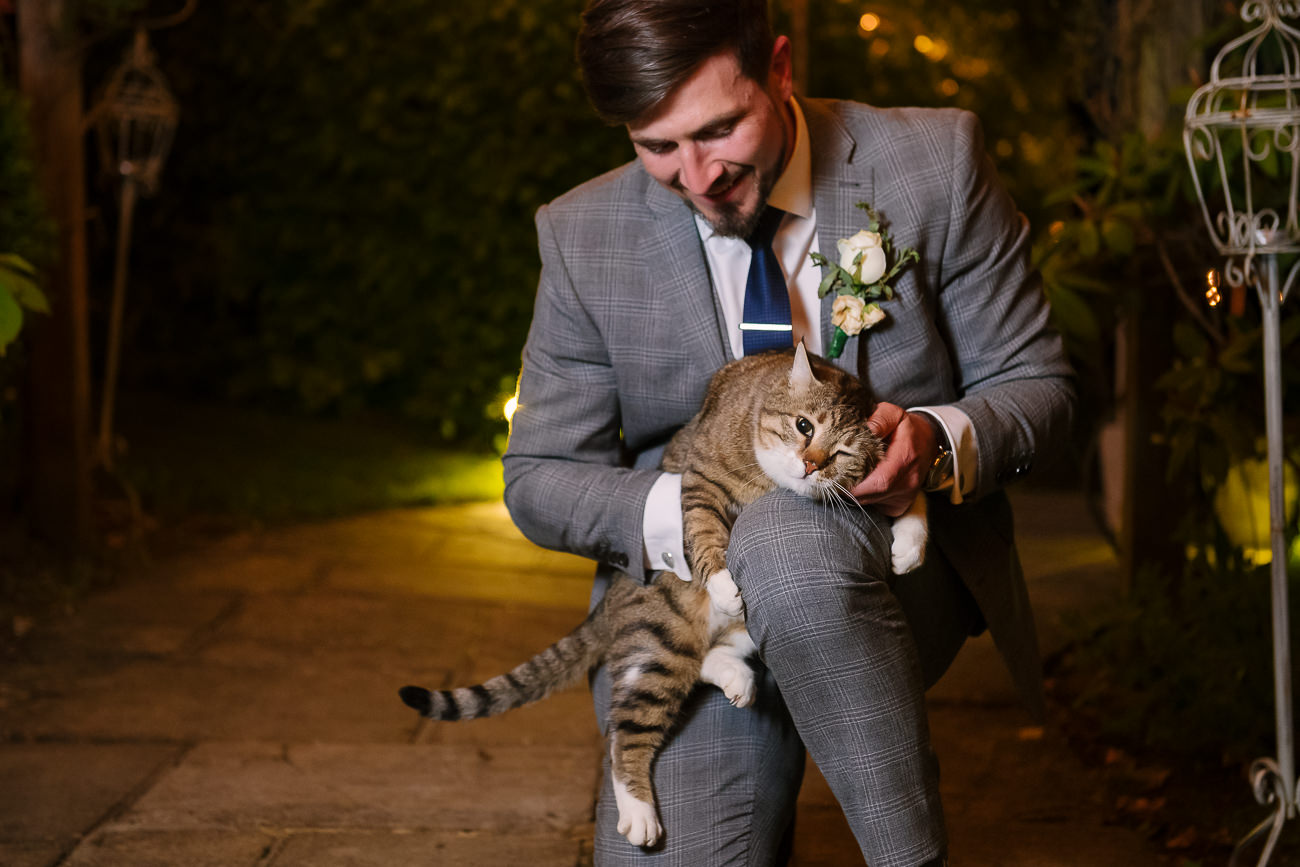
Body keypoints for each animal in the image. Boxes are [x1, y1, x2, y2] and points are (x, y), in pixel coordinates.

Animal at [395, 343, 925, 847]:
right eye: (802, 426)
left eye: (842, 454)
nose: (811, 466)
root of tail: (614, 599)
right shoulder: (702, 478)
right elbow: (705, 530)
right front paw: (722, 580)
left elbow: (913, 493)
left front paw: (911, 543)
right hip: (658, 640)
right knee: (623, 734)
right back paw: (639, 812)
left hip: (697, 640)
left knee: (707, 657)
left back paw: (735, 677)